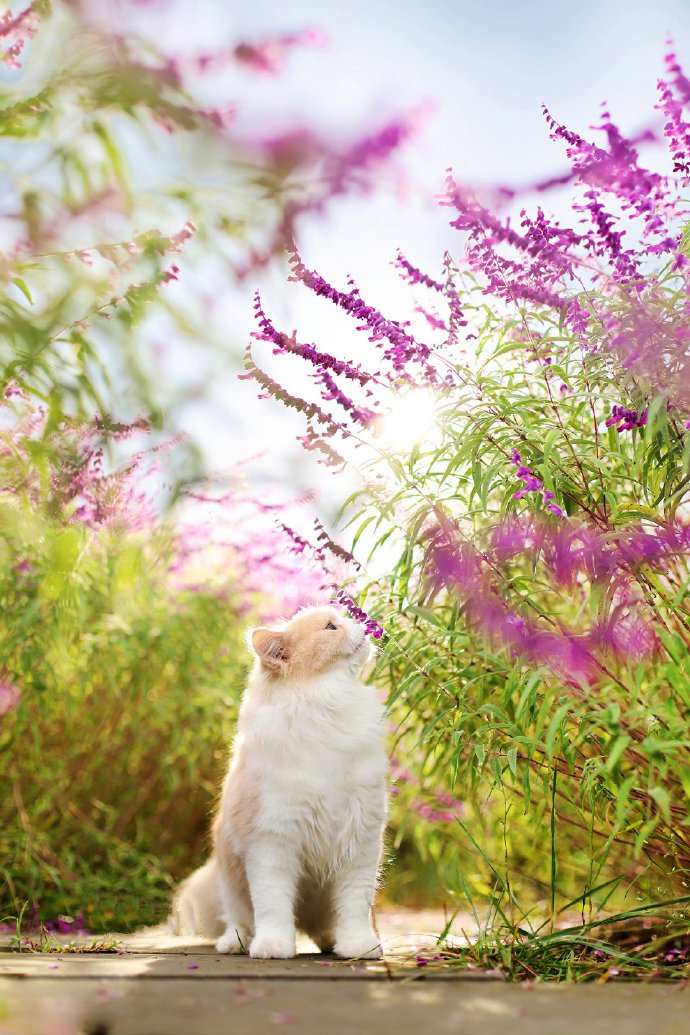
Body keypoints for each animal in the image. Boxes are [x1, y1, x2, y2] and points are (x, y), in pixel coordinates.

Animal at [168, 604, 388, 956]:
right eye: (331, 627)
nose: (365, 623)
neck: (327, 708)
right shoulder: (272, 843)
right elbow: (273, 907)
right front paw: (273, 946)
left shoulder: (360, 841)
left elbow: (355, 908)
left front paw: (359, 946)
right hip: (227, 878)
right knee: (238, 920)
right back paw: (235, 944)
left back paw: (329, 941)